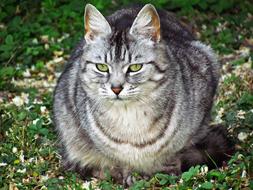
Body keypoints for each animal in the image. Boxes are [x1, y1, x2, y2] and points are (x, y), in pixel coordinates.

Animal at [52, 3, 233, 186]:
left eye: (135, 67)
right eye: (102, 67)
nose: (116, 88)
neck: (131, 118)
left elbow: (176, 152)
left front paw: (168, 170)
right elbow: (119, 159)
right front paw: (128, 174)